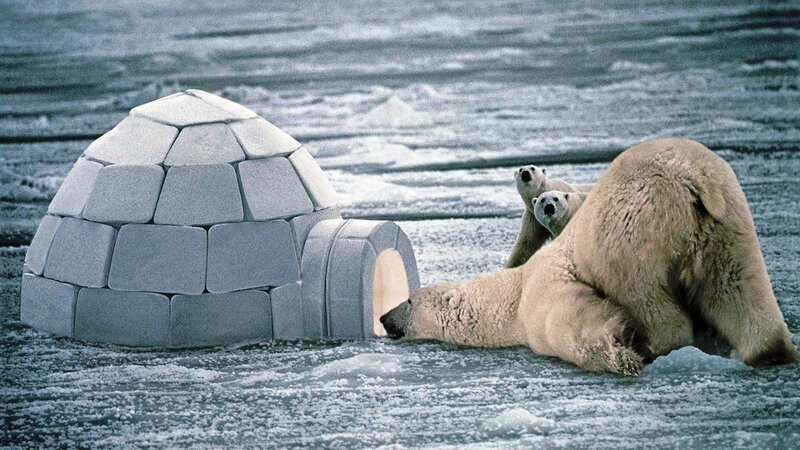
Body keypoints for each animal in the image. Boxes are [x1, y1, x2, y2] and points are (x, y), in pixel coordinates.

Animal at [381, 138, 799, 376]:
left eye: (409, 299)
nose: (384, 317)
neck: (512, 292)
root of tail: (693, 179)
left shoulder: (543, 290)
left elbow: (570, 321)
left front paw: (621, 352)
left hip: (632, 229)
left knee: (648, 295)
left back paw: (656, 344)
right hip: (728, 222)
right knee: (739, 287)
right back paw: (771, 351)